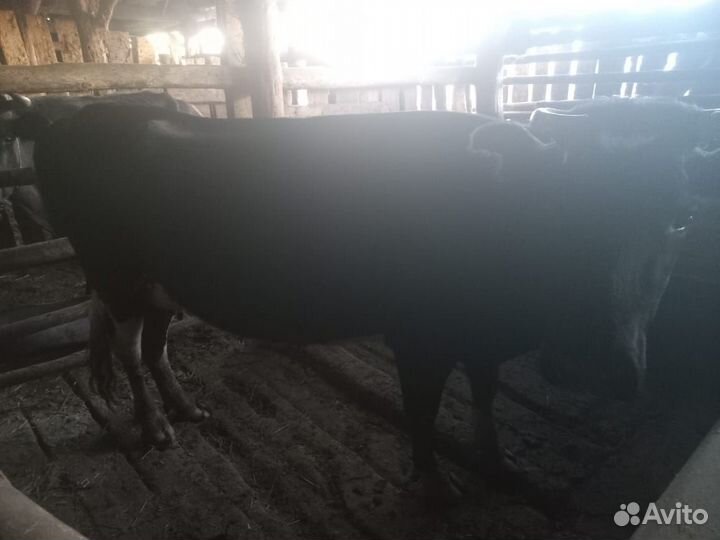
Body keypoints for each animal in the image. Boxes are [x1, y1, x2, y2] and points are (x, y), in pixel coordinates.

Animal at [29, 98, 714, 496]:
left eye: (683, 219)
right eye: (550, 205)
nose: (589, 365)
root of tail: (85, 116)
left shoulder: (481, 335)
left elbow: (485, 395)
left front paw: (496, 464)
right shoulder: (417, 333)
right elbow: (423, 410)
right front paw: (433, 484)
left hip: (159, 284)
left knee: (155, 348)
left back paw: (185, 409)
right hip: (115, 274)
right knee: (128, 351)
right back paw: (155, 427)